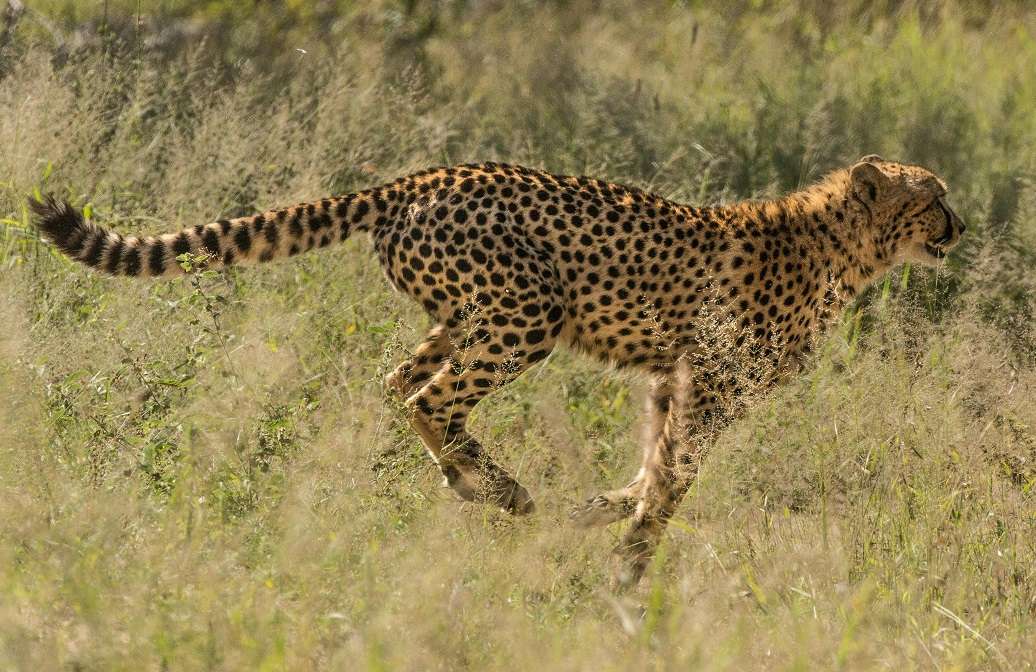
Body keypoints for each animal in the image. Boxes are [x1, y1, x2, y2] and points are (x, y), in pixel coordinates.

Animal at [30, 154, 964, 589]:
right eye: (933, 197)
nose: (961, 227)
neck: (846, 246)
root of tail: (425, 173)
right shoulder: (713, 383)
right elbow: (674, 478)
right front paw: (632, 560)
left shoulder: (672, 380)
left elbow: (654, 462)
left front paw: (606, 515)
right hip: (527, 313)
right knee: (429, 398)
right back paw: (503, 491)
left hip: (461, 315)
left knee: (397, 384)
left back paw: (472, 483)